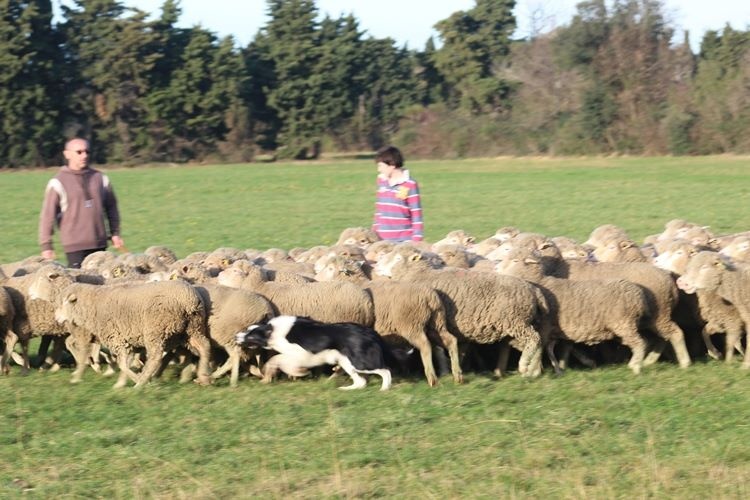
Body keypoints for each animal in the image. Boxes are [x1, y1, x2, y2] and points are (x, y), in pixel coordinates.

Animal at [236, 316, 394, 390]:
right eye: (246, 329)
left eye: (251, 336)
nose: (235, 336)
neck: (272, 331)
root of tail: (371, 332)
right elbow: (274, 359)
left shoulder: (302, 355)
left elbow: (278, 358)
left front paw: (300, 373)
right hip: (346, 362)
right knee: (361, 382)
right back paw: (345, 389)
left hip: (359, 363)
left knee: (385, 371)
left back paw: (384, 389)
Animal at [312, 256, 464, 384]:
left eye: (330, 268)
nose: (315, 277)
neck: (356, 282)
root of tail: (429, 297)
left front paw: (336, 373)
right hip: (436, 323)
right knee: (450, 340)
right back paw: (456, 375)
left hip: (411, 325)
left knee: (425, 345)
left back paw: (432, 378)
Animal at [374, 244, 548, 376]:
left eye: (397, 258)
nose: (376, 266)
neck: (420, 274)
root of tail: (534, 290)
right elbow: (444, 348)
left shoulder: (434, 323)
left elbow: (437, 349)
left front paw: (445, 370)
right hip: (522, 323)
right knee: (539, 343)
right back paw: (533, 371)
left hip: (517, 321)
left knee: (534, 339)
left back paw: (524, 366)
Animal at [496, 246, 648, 376]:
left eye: (515, 261)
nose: (496, 268)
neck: (540, 282)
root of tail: (638, 295)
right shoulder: (553, 331)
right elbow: (549, 349)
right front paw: (557, 369)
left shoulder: (545, 327)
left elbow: (539, 349)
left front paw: (532, 371)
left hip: (624, 324)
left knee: (639, 343)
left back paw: (636, 366)